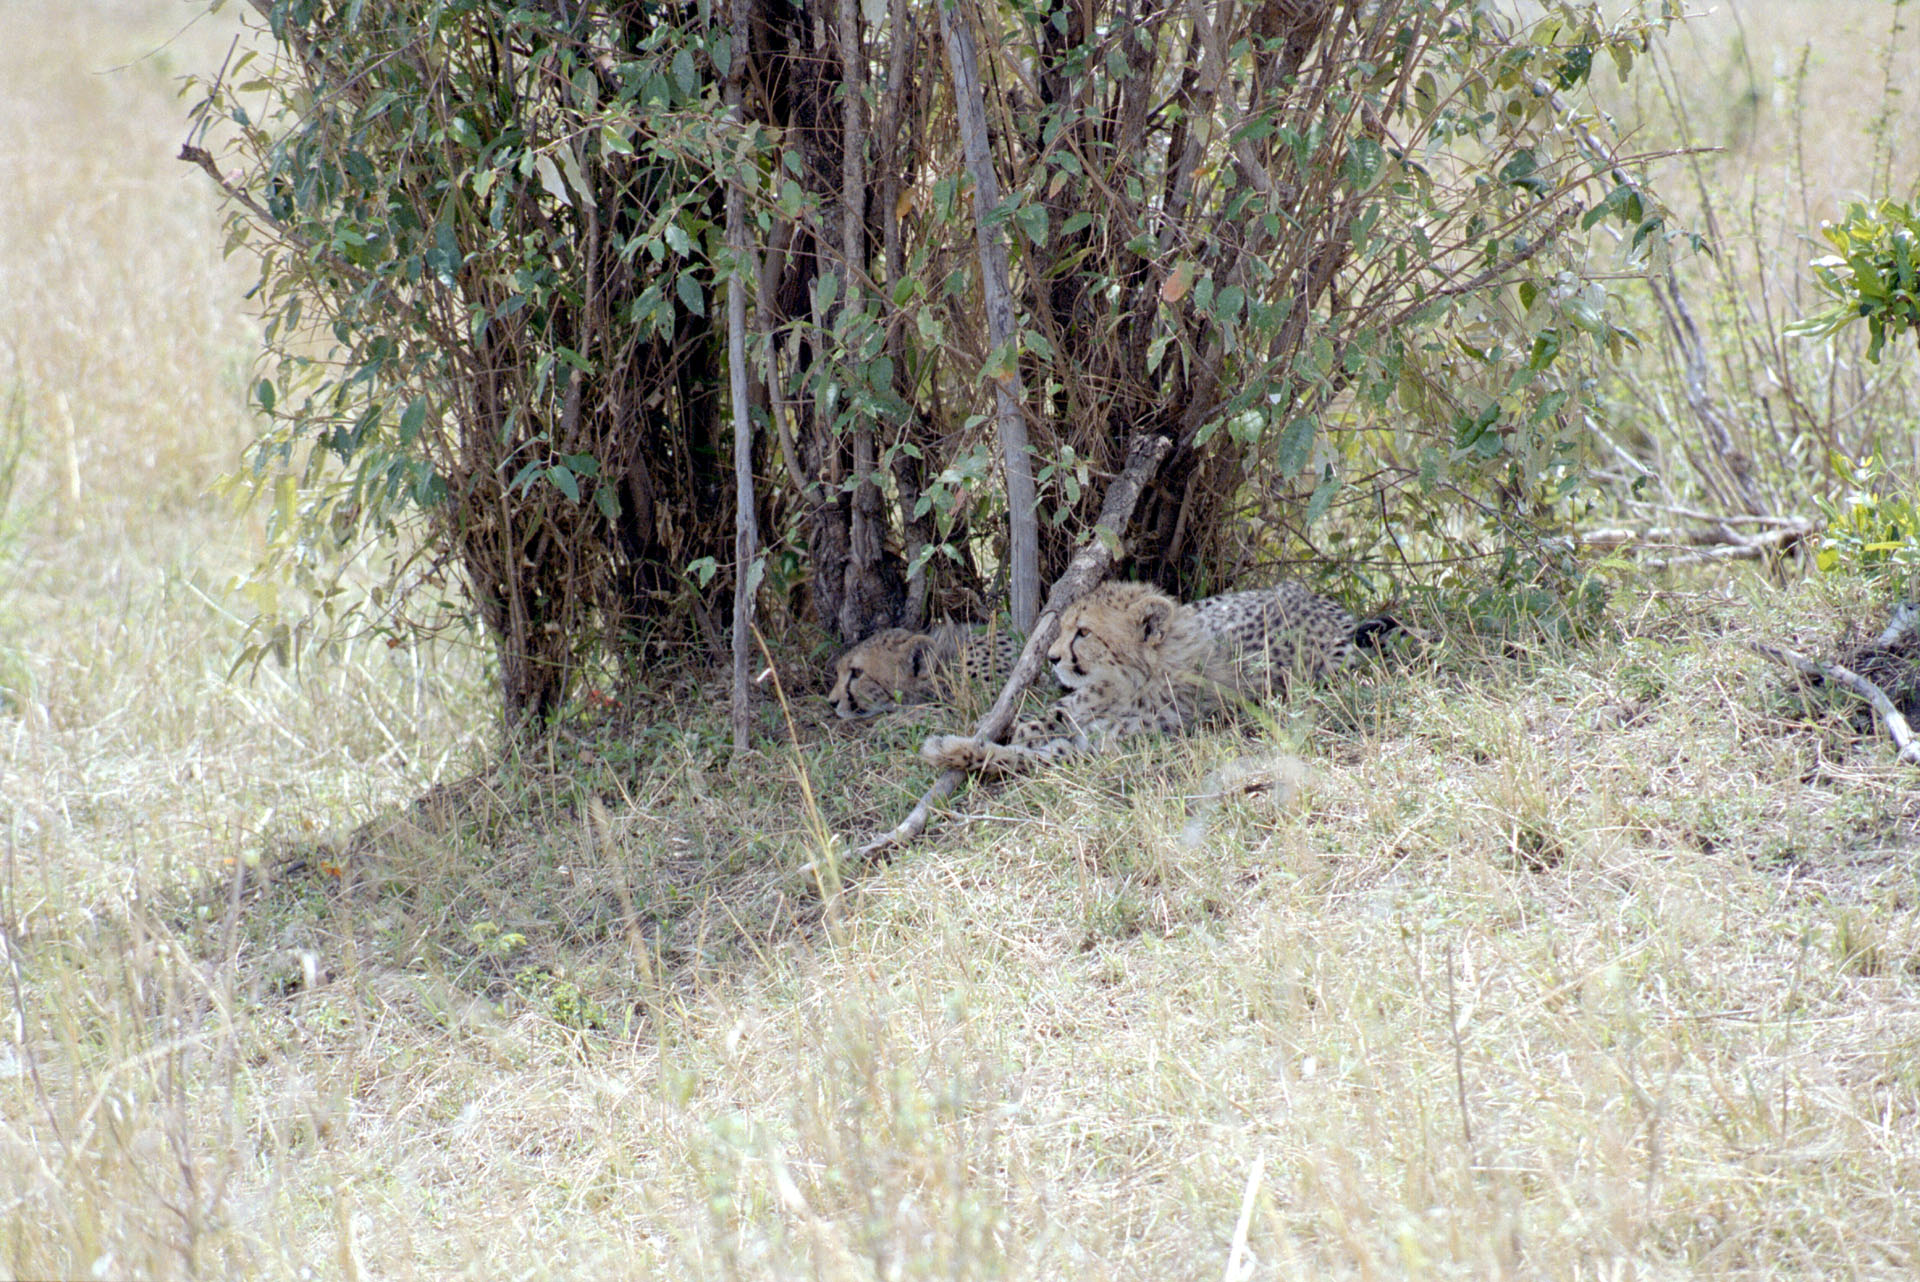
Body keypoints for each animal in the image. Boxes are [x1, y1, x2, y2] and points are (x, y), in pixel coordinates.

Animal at [921, 579, 1390, 771]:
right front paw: (1010, 730)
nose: (1051, 658)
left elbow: (1028, 755)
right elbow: (1045, 719)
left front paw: (951, 750)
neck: (1126, 685)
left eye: (1083, 632)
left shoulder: (1104, 751)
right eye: (1064, 626)